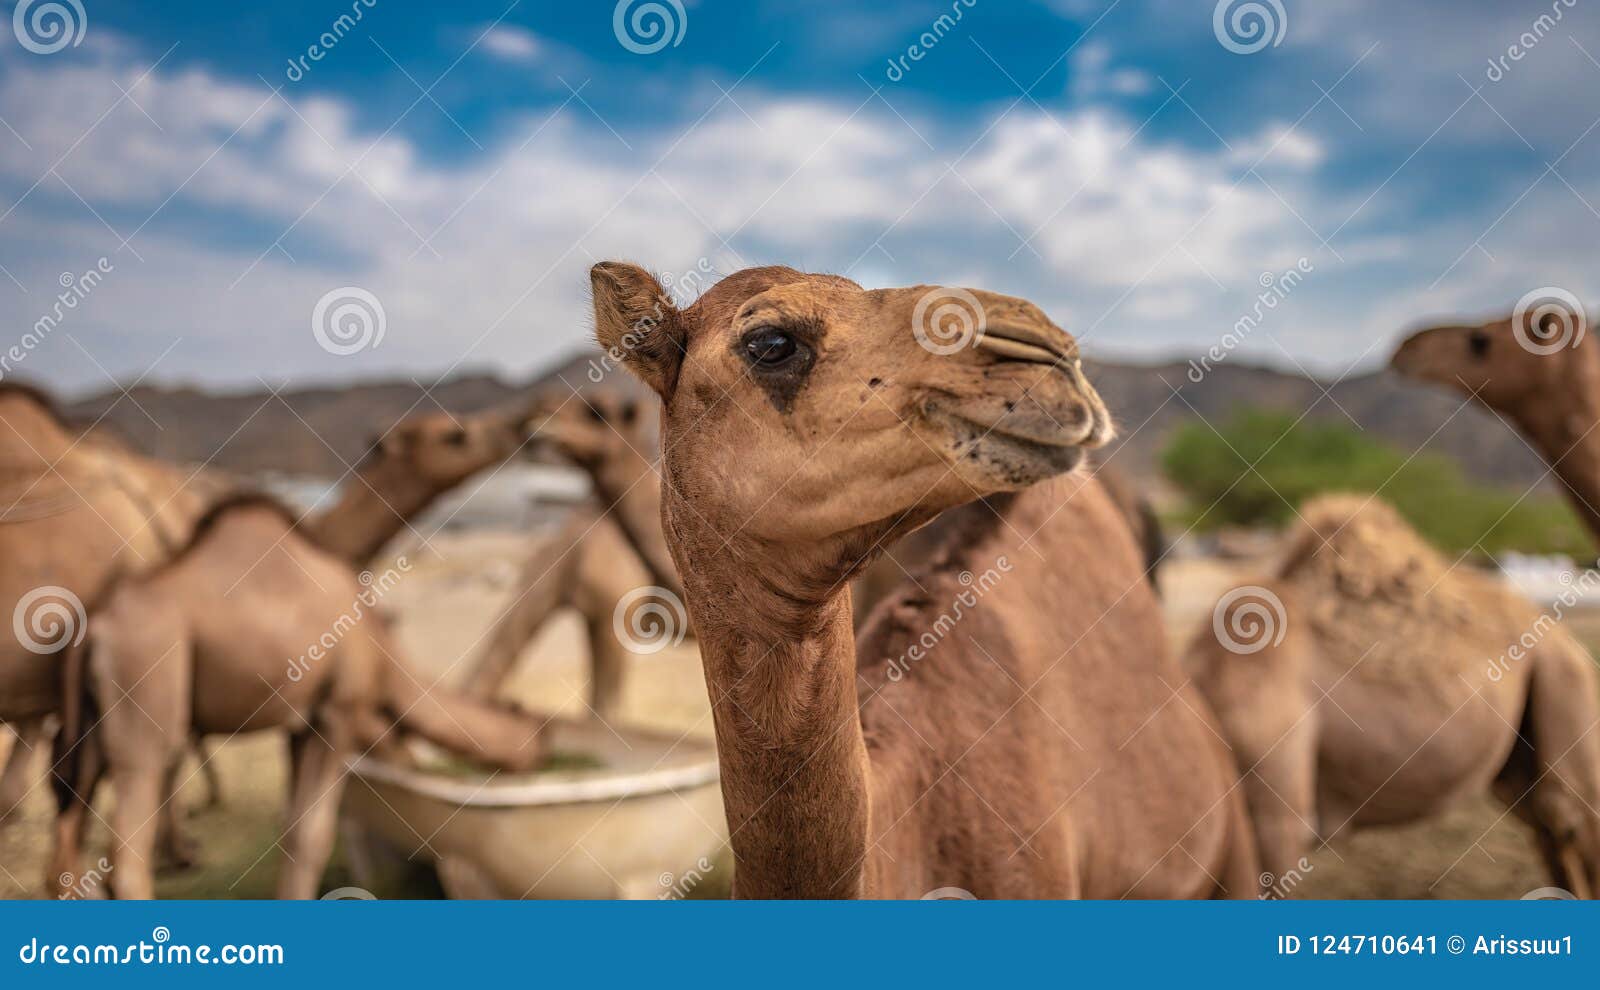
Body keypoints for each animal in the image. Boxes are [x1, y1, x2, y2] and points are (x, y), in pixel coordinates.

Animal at [46, 495, 547, 895]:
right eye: (536, 735)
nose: (536, 759)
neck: (382, 650)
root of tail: (97, 623)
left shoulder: (297, 724)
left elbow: (292, 831)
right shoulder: (339, 712)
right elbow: (313, 839)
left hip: (91, 723)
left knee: (67, 836)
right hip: (147, 688)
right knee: (128, 842)